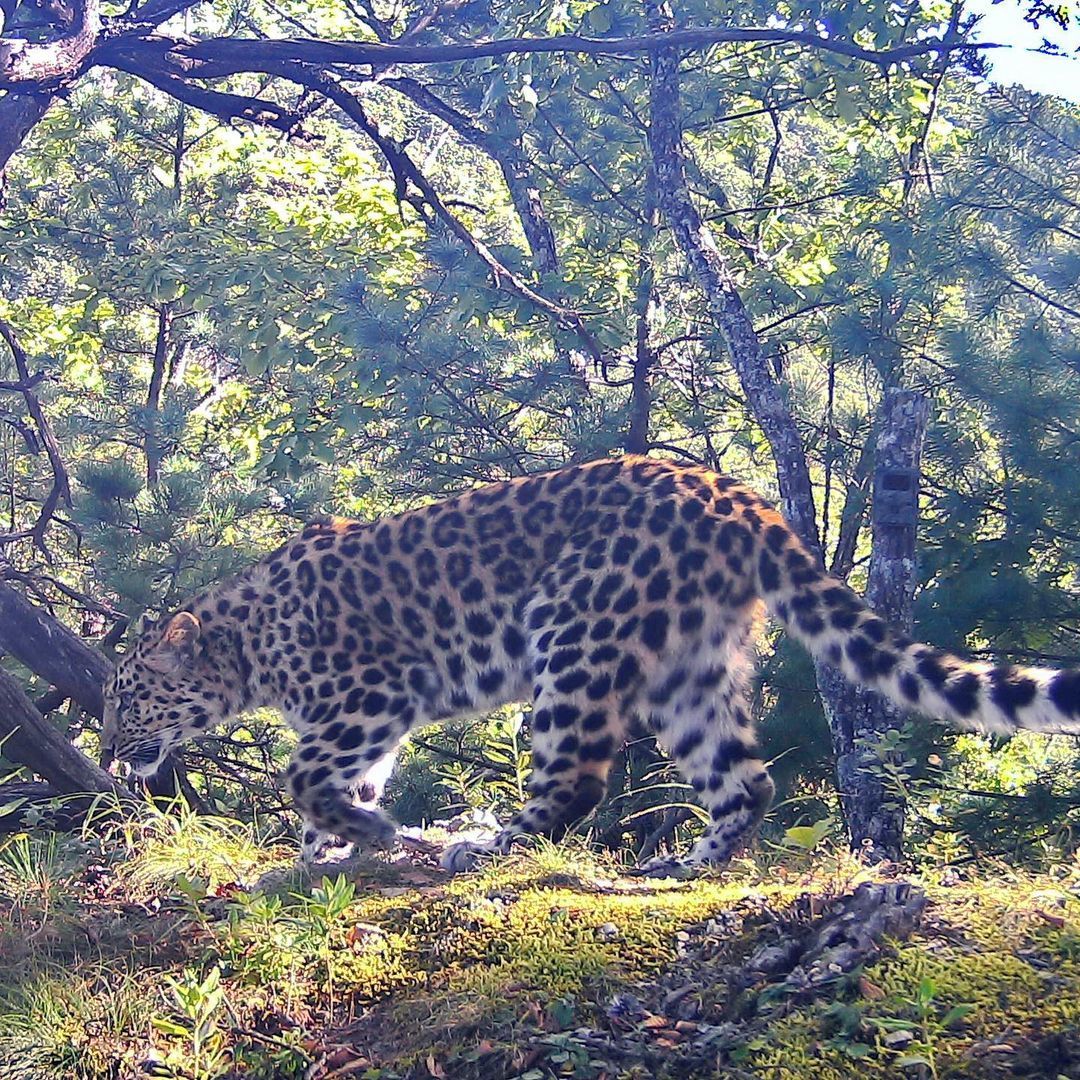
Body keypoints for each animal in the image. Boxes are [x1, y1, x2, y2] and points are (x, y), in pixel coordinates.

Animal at [101, 455, 1080, 876]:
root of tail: (734, 494)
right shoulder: (358, 724)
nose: (109, 754)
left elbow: (305, 777)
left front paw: (368, 838)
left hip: (574, 639)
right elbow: (336, 788)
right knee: (745, 781)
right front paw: (325, 855)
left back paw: (484, 844)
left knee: (574, 781)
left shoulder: (373, 694)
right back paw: (683, 867)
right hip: (691, 670)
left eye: (129, 699)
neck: (243, 645)